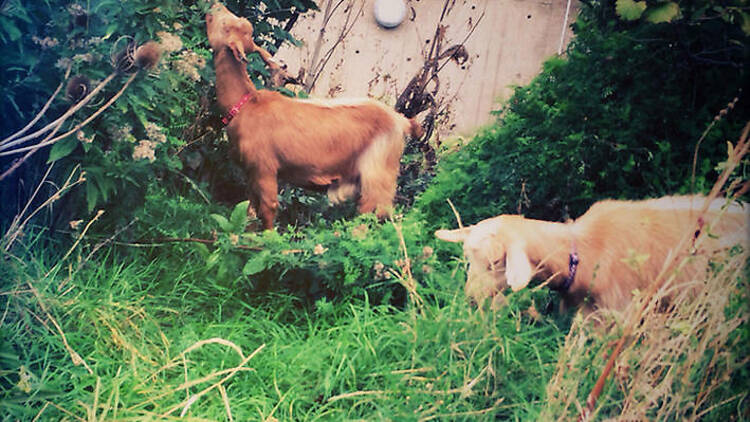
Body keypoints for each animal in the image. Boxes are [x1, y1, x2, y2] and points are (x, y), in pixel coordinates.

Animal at [204, 3, 424, 229]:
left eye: (225, 25)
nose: (215, 6)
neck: (246, 103)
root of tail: (400, 120)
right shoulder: (250, 173)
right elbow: (249, 211)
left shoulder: (265, 169)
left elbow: (267, 211)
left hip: (378, 177)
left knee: (375, 219)